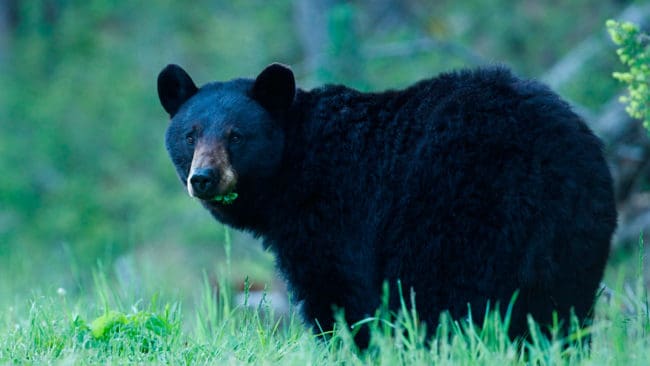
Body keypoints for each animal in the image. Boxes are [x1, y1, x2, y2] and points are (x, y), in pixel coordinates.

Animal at [157, 63, 612, 346]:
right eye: (190, 135)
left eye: (236, 135)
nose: (204, 178)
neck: (294, 167)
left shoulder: (333, 218)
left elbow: (338, 295)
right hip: (574, 239)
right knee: (559, 312)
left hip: (455, 219)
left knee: (444, 300)